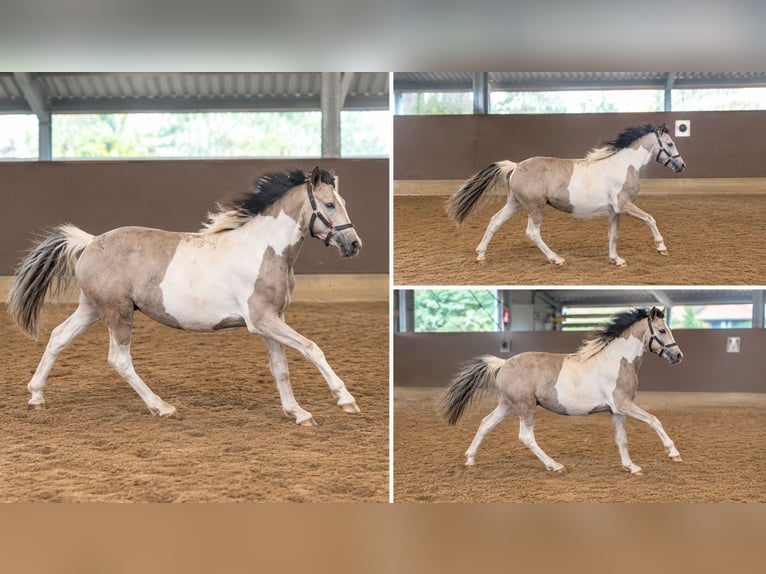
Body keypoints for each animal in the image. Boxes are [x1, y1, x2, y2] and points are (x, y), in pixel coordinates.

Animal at [7, 166, 362, 426]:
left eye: (344, 203)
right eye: (329, 204)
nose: (354, 244)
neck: (264, 249)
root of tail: (91, 242)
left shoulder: (273, 319)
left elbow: (280, 367)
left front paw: (297, 413)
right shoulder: (261, 319)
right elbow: (311, 348)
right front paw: (346, 400)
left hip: (92, 309)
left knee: (58, 337)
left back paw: (36, 396)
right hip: (118, 312)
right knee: (119, 359)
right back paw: (161, 407)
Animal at [441, 307, 683, 475]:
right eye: (662, 330)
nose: (678, 355)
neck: (617, 360)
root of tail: (503, 364)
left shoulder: (616, 411)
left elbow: (621, 439)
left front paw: (631, 467)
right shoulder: (623, 405)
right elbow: (654, 420)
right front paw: (674, 453)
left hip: (507, 406)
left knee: (485, 424)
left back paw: (470, 459)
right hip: (525, 406)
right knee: (526, 436)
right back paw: (555, 466)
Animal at [446, 124, 686, 266]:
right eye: (670, 143)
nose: (681, 165)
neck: (624, 166)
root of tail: (516, 166)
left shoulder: (614, 210)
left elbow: (613, 235)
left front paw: (616, 259)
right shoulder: (623, 205)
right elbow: (650, 219)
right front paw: (662, 248)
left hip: (515, 203)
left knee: (495, 221)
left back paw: (481, 254)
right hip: (535, 206)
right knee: (532, 232)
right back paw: (557, 259)